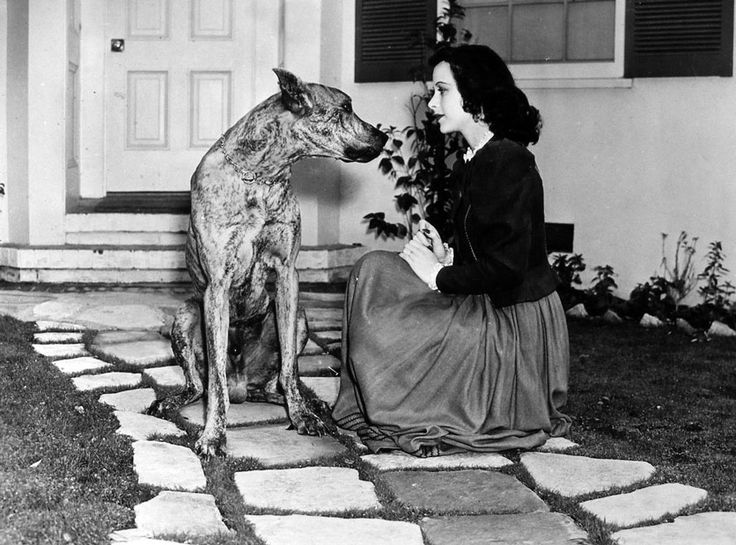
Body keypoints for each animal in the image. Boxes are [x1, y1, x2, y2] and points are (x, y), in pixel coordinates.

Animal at [167, 70, 386, 456]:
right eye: (345, 108)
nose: (384, 135)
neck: (259, 175)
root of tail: (244, 387)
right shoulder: (217, 287)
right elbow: (216, 379)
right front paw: (213, 435)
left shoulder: (287, 276)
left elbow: (290, 370)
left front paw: (301, 416)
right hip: (187, 314)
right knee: (197, 384)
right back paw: (170, 402)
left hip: (300, 318)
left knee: (273, 385)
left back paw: (303, 403)